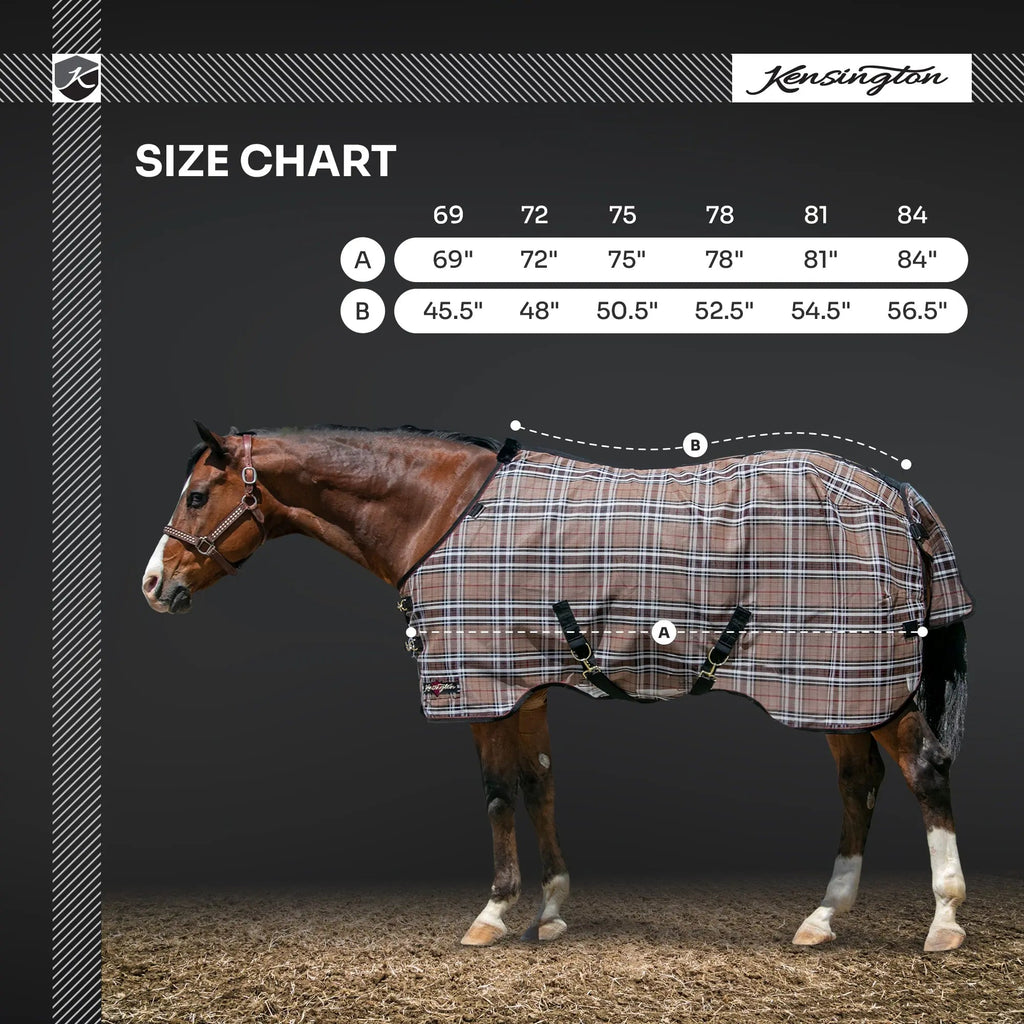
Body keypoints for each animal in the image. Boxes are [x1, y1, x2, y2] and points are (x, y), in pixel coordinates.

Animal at [142, 422, 972, 952]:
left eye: (195, 496)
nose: (153, 585)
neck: (444, 514)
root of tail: (898, 497)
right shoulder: (527, 686)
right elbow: (538, 784)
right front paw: (552, 910)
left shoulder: (478, 686)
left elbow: (497, 793)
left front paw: (493, 914)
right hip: (836, 691)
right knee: (860, 782)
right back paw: (823, 918)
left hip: (865, 684)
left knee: (923, 770)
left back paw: (944, 922)